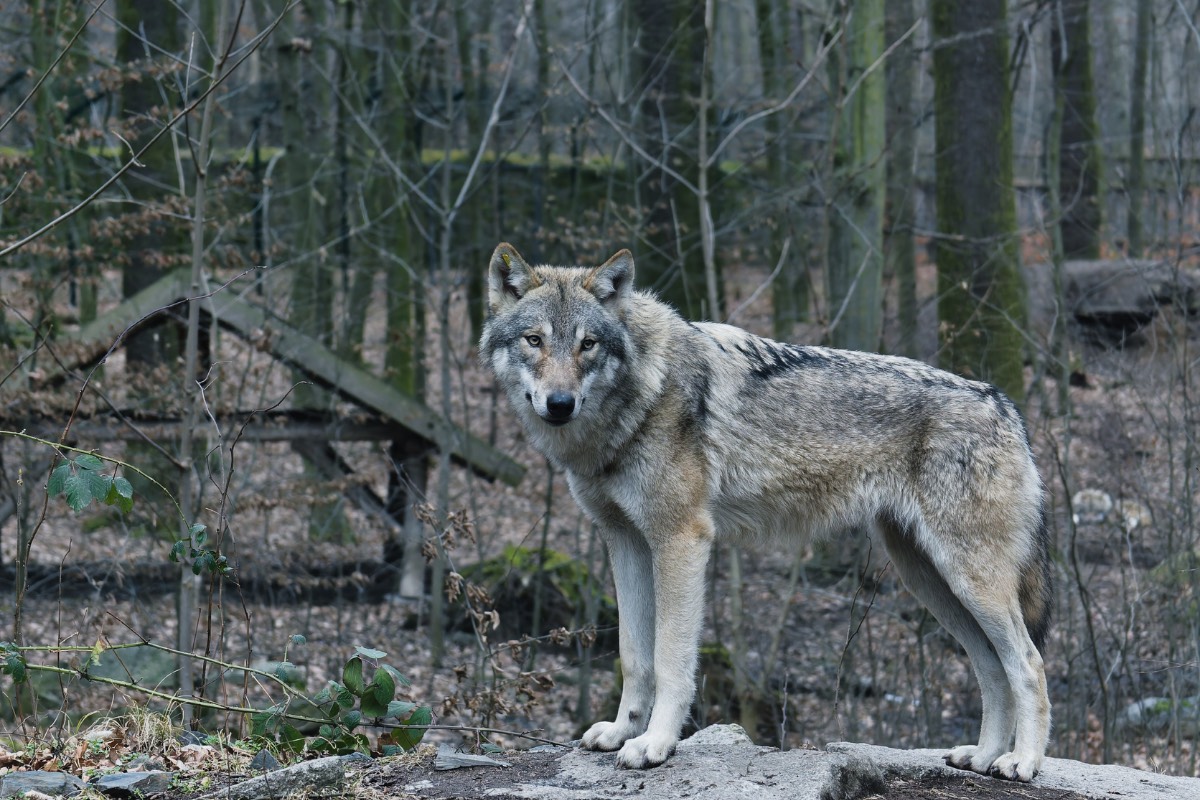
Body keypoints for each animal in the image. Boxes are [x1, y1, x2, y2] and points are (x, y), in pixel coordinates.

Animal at [479, 243, 1053, 782]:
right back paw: (981, 756)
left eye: (587, 344)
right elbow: (634, 656)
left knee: (1028, 664)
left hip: (968, 581)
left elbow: (670, 660)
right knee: (992, 667)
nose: (559, 403)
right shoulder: (625, 543)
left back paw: (1021, 762)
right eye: (534, 340)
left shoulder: (681, 539)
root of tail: (1007, 406)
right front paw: (623, 731)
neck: (640, 394)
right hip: (930, 580)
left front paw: (655, 745)